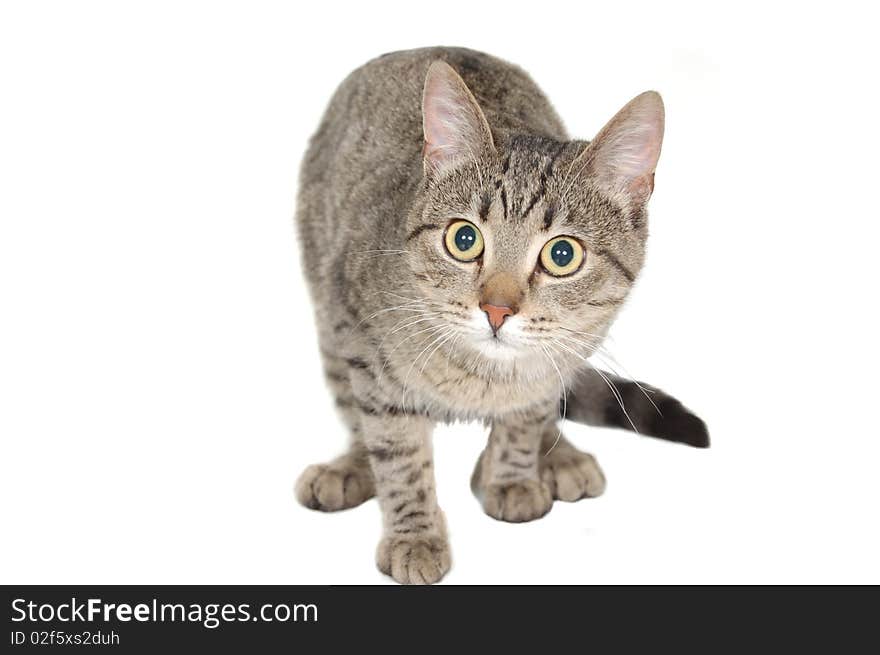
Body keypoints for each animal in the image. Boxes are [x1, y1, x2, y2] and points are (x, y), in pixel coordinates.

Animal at [294, 48, 708, 588]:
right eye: (463, 239)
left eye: (562, 254)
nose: (497, 309)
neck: (479, 378)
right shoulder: (360, 343)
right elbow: (397, 450)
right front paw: (414, 533)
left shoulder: (558, 360)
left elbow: (526, 416)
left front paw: (511, 474)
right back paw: (350, 466)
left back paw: (555, 454)